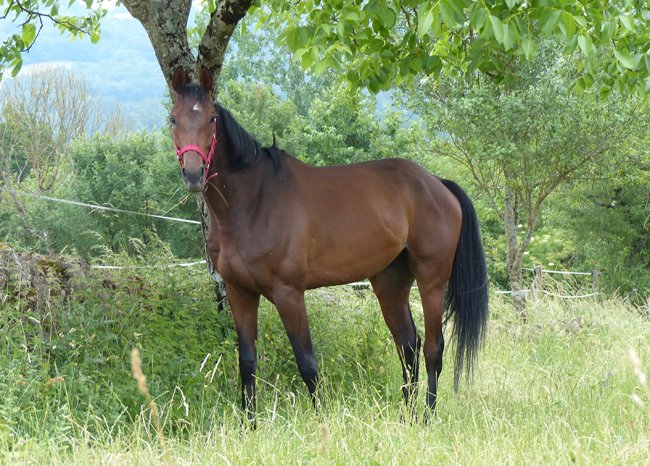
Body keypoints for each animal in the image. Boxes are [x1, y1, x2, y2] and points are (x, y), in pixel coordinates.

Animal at [169, 67, 489, 424]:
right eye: (173, 119)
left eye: (211, 118)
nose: (193, 174)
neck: (253, 202)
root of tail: (437, 184)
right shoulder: (240, 293)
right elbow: (247, 363)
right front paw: (249, 424)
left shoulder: (289, 294)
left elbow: (307, 362)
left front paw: (320, 421)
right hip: (390, 281)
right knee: (408, 345)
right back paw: (405, 417)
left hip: (431, 279)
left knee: (433, 348)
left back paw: (427, 418)